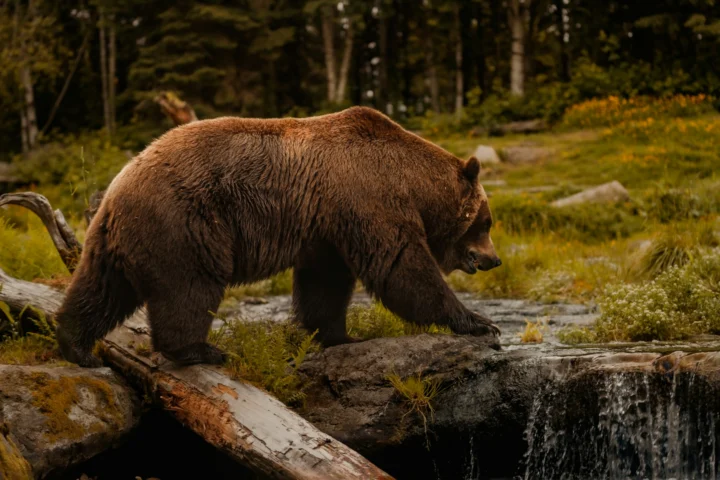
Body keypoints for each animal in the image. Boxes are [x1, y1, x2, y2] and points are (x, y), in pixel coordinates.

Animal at [55, 106, 502, 368]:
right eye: (487, 221)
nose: (494, 259)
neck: (412, 182)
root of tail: (118, 186)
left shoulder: (328, 226)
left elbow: (325, 284)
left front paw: (339, 335)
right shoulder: (368, 198)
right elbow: (402, 268)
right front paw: (479, 322)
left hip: (116, 238)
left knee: (100, 289)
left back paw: (77, 347)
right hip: (185, 223)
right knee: (189, 288)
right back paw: (201, 350)